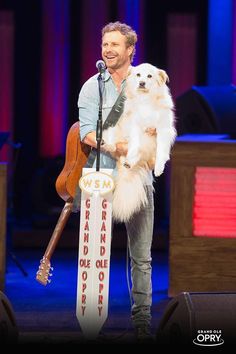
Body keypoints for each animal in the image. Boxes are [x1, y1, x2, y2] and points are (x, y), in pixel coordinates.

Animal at [102, 63, 176, 221]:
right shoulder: (134, 126)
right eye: (138, 75)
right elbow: (135, 144)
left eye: (149, 76)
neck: (145, 99)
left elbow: (161, 151)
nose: (141, 83)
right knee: (116, 146)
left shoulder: (163, 129)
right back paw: (114, 149)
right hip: (113, 130)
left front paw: (159, 168)